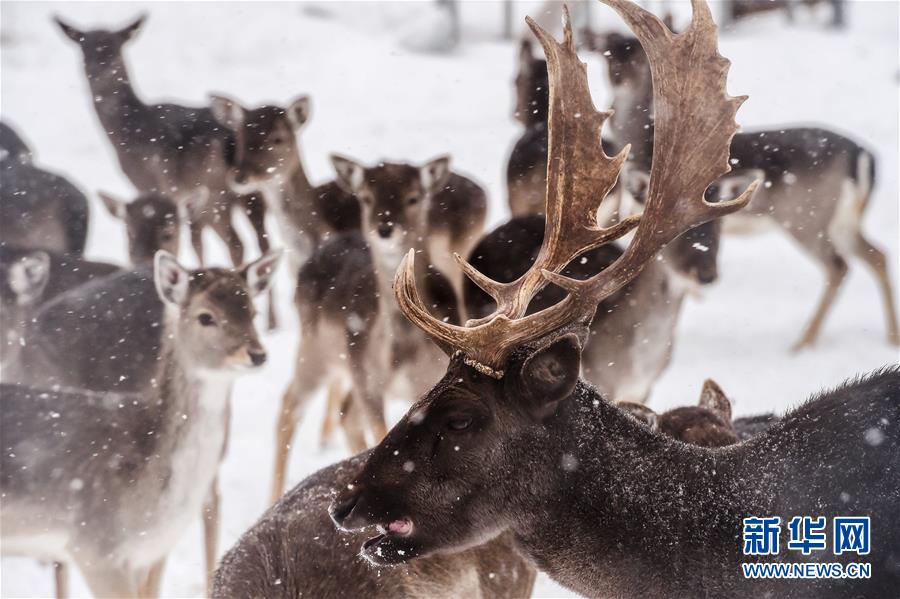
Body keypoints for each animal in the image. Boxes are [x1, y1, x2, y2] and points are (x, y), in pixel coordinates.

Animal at [268, 154, 464, 502]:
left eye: (413, 197)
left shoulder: (432, 381)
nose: (385, 227)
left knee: (345, 416)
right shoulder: (370, 383)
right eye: (367, 197)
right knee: (291, 404)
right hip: (316, 351)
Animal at [580, 21, 896, 352]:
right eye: (607, 52)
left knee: (838, 265)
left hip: (806, 215)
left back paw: (802, 343)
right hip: (843, 219)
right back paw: (890, 337)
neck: (643, 144)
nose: (618, 82)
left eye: (635, 55)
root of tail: (864, 156)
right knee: (877, 254)